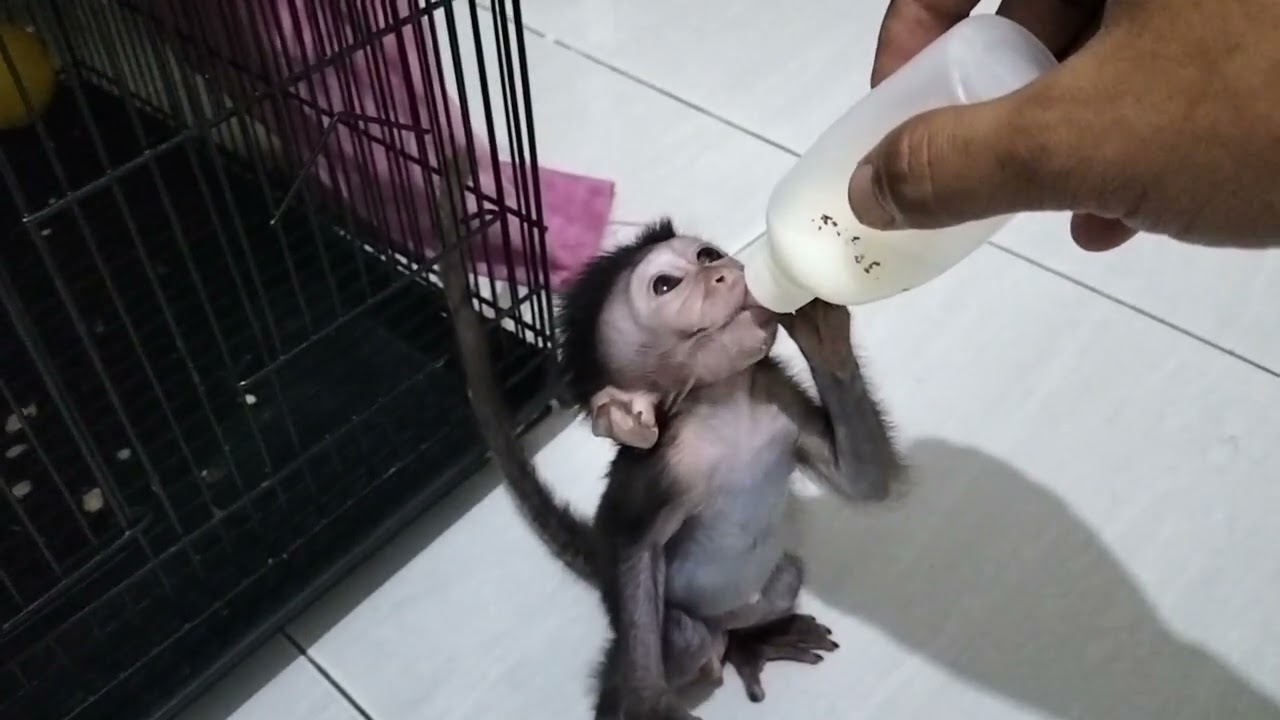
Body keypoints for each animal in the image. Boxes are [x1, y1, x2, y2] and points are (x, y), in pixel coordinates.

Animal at [436, 157, 902, 720]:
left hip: (760, 592)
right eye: (664, 286)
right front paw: (647, 702)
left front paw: (821, 326)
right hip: (671, 625)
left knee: (782, 579)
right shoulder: (659, 468)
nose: (724, 271)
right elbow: (634, 548)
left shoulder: (775, 393)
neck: (725, 409)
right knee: (684, 638)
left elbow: (864, 483)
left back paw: (753, 641)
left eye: (706, 255)